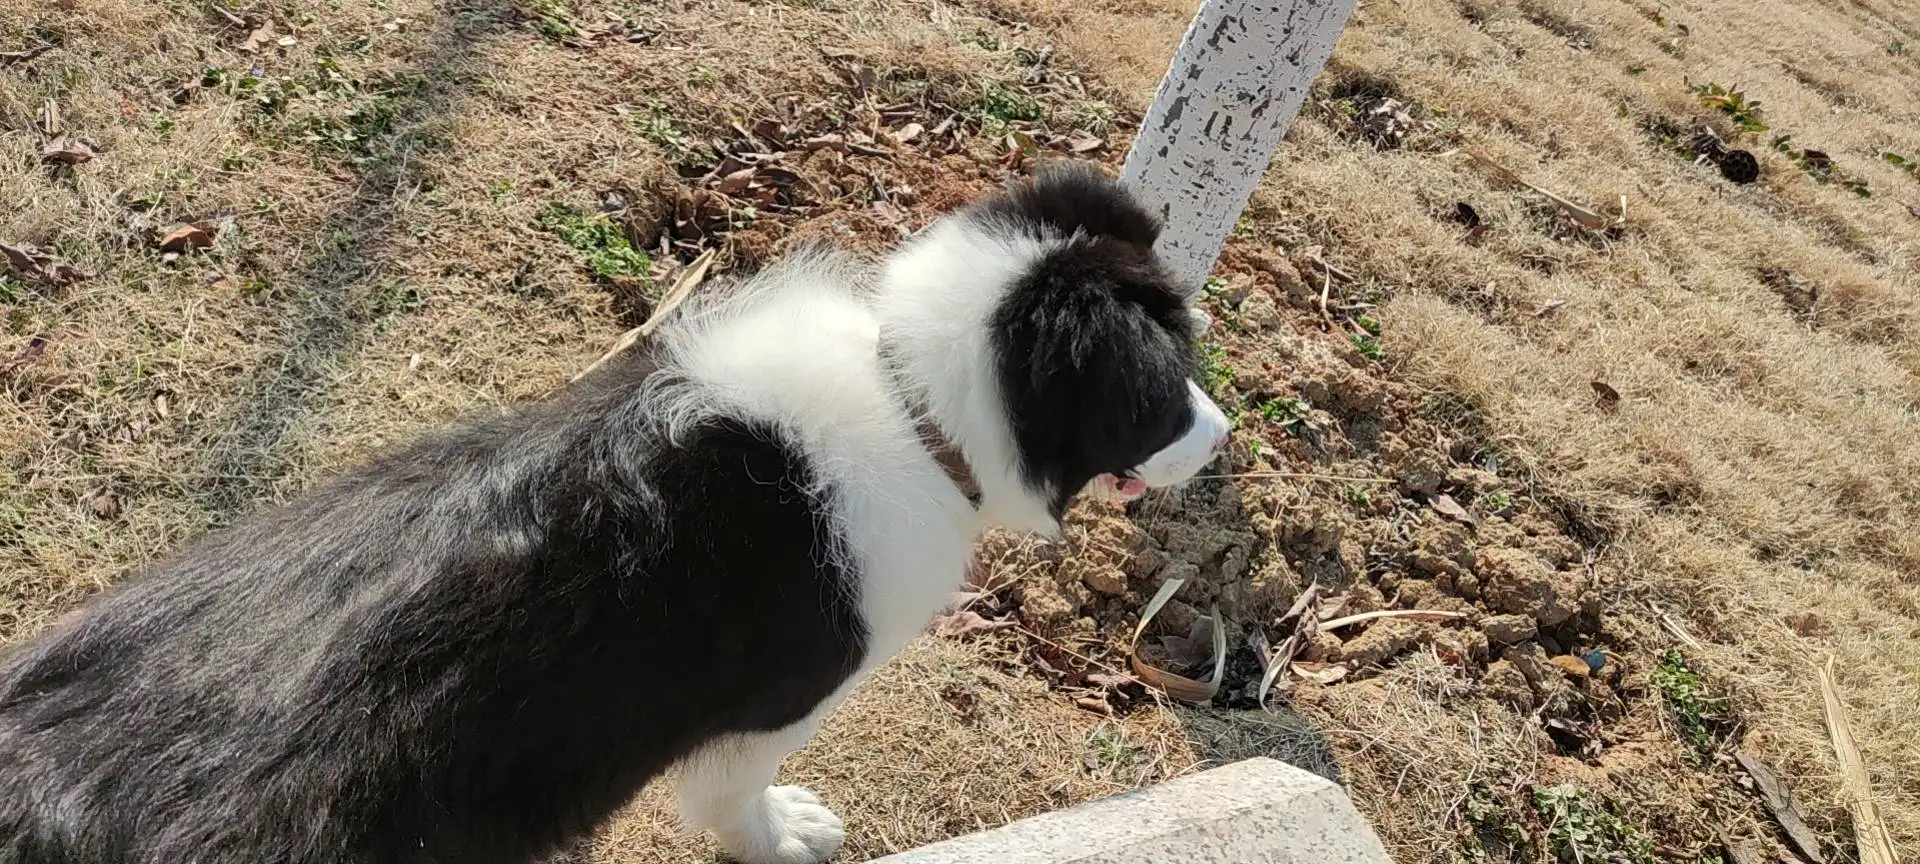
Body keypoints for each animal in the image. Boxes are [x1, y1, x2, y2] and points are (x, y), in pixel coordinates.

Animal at [0, 164, 1228, 864]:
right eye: (1168, 390)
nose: (1222, 441)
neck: (907, 393)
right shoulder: (776, 710)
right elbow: (737, 798)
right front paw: (786, 836)